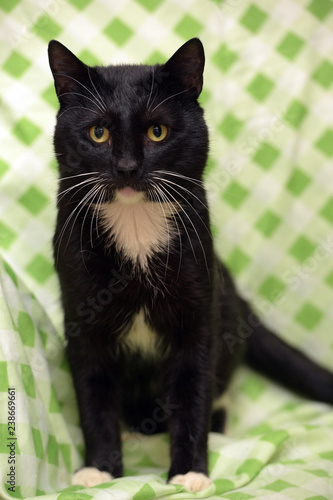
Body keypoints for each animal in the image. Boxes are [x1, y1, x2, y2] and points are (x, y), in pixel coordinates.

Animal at [46, 38, 332, 492]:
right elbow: (93, 395)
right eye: (98, 132)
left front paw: (189, 473)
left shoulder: (199, 308)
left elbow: (192, 391)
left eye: (157, 131)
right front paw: (100, 470)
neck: (136, 231)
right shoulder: (81, 313)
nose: (127, 167)